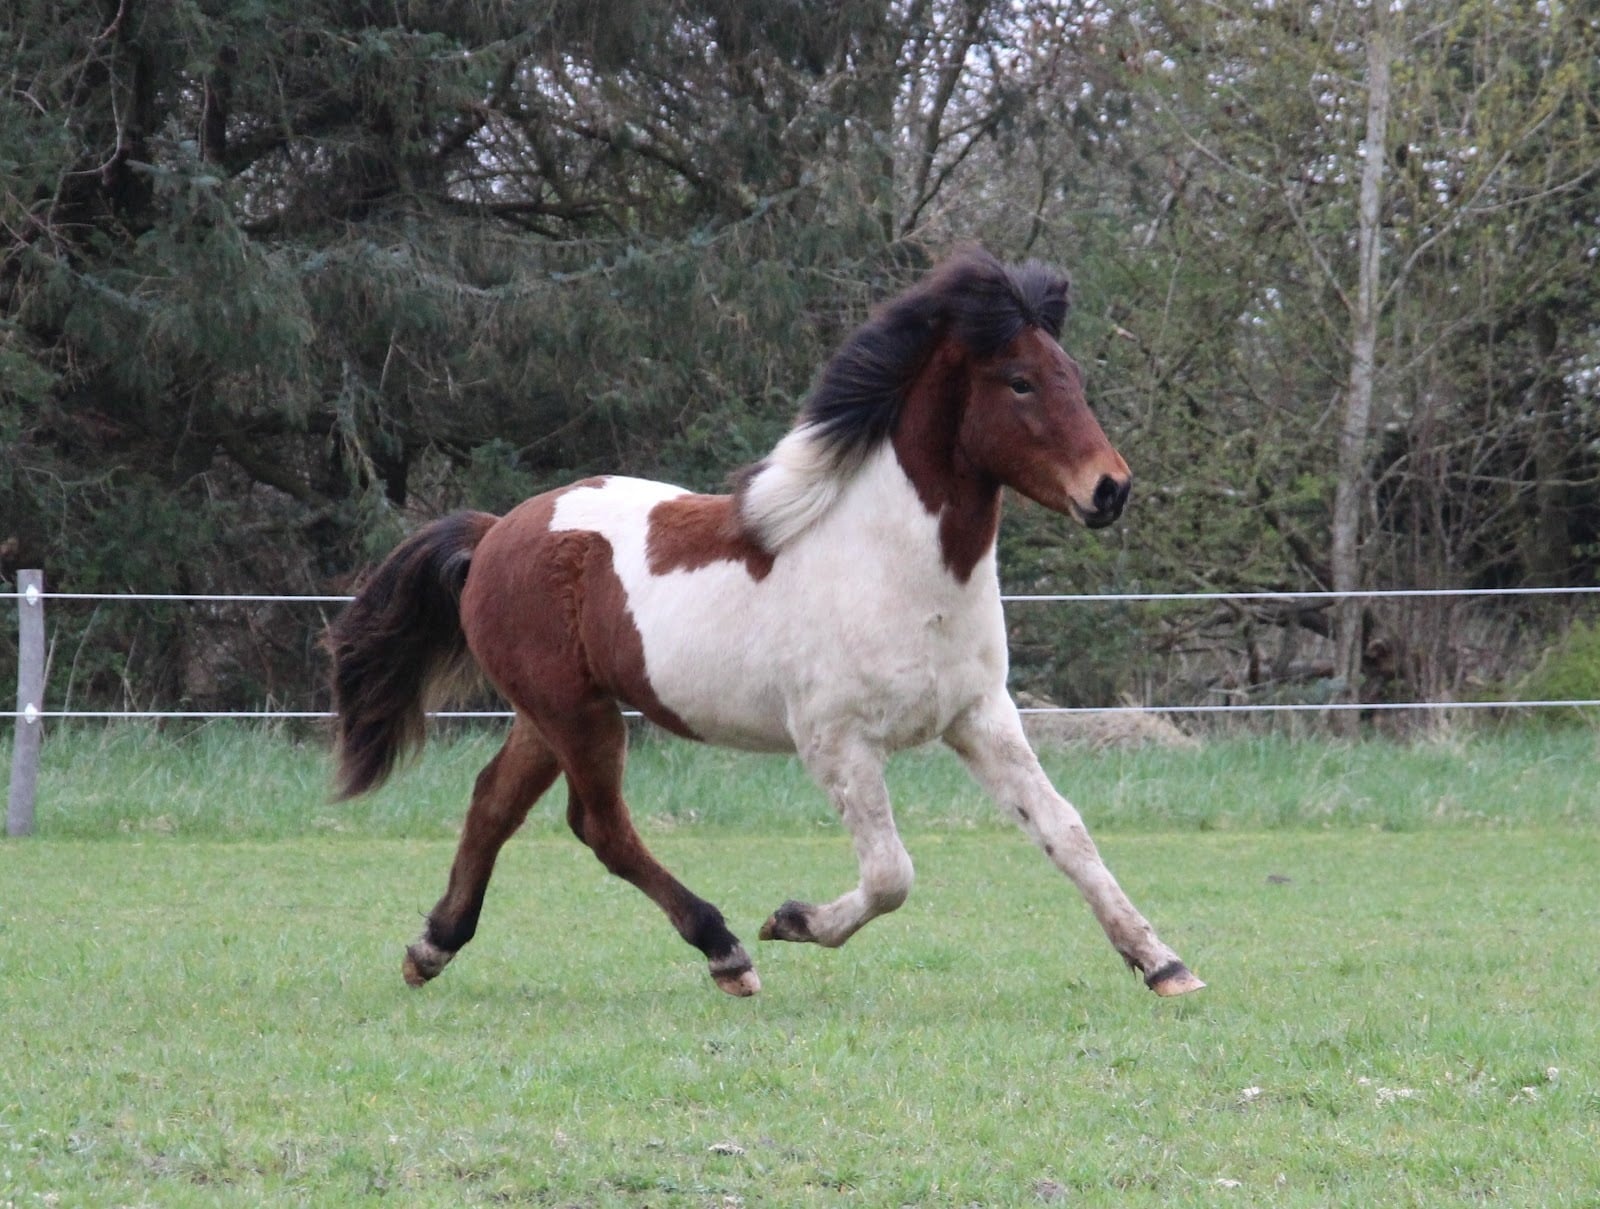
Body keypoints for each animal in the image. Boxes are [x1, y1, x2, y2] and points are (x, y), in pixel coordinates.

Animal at [328, 248, 1203, 1000]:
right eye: (1019, 382)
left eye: (1072, 376)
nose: (1110, 490)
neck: (894, 566)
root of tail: (496, 531)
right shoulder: (836, 741)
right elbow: (892, 874)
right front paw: (793, 920)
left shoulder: (980, 716)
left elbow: (1064, 830)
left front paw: (1162, 961)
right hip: (576, 713)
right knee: (600, 825)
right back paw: (725, 950)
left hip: (552, 713)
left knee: (494, 806)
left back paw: (431, 947)